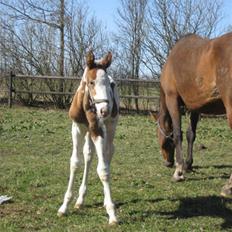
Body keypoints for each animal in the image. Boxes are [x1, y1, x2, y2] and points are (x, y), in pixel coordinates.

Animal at [57, 51, 119, 225]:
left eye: (108, 83)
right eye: (91, 82)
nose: (104, 110)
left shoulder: (97, 129)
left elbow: (103, 170)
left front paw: (111, 213)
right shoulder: (77, 128)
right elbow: (75, 163)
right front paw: (64, 206)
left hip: (110, 127)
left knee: (108, 152)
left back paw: (105, 201)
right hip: (88, 133)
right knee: (88, 155)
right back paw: (80, 200)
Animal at [157, 32, 232, 196]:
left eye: (159, 137)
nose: (167, 162)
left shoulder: (172, 99)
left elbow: (177, 134)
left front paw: (179, 171)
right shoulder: (196, 106)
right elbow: (191, 134)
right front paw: (188, 165)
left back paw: (229, 186)